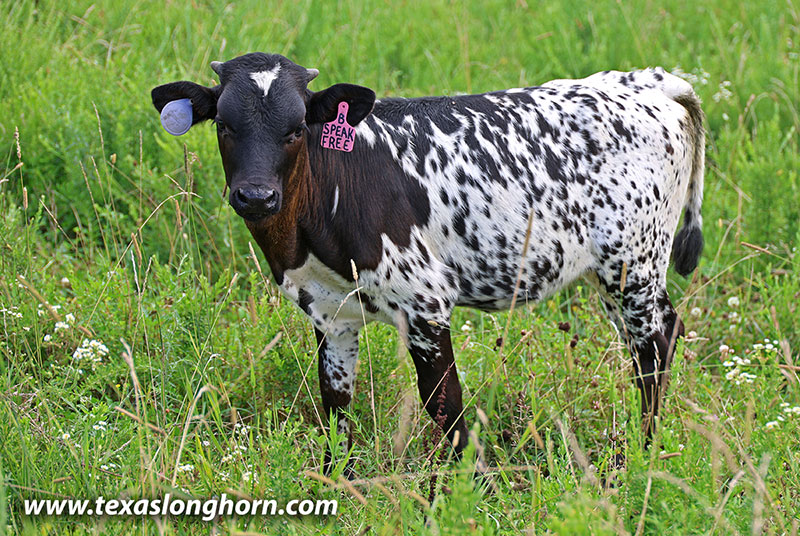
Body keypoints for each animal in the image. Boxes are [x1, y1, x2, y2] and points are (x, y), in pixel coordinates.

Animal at [152, 53, 704, 475]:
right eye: (225, 126)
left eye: (295, 130)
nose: (256, 196)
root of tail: (648, 82)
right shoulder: (329, 312)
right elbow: (335, 401)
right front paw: (336, 478)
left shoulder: (425, 302)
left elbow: (443, 401)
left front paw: (468, 487)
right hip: (611, 275)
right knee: (654, 338)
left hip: (633, 264)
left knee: (653, 346)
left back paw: (644, 452)